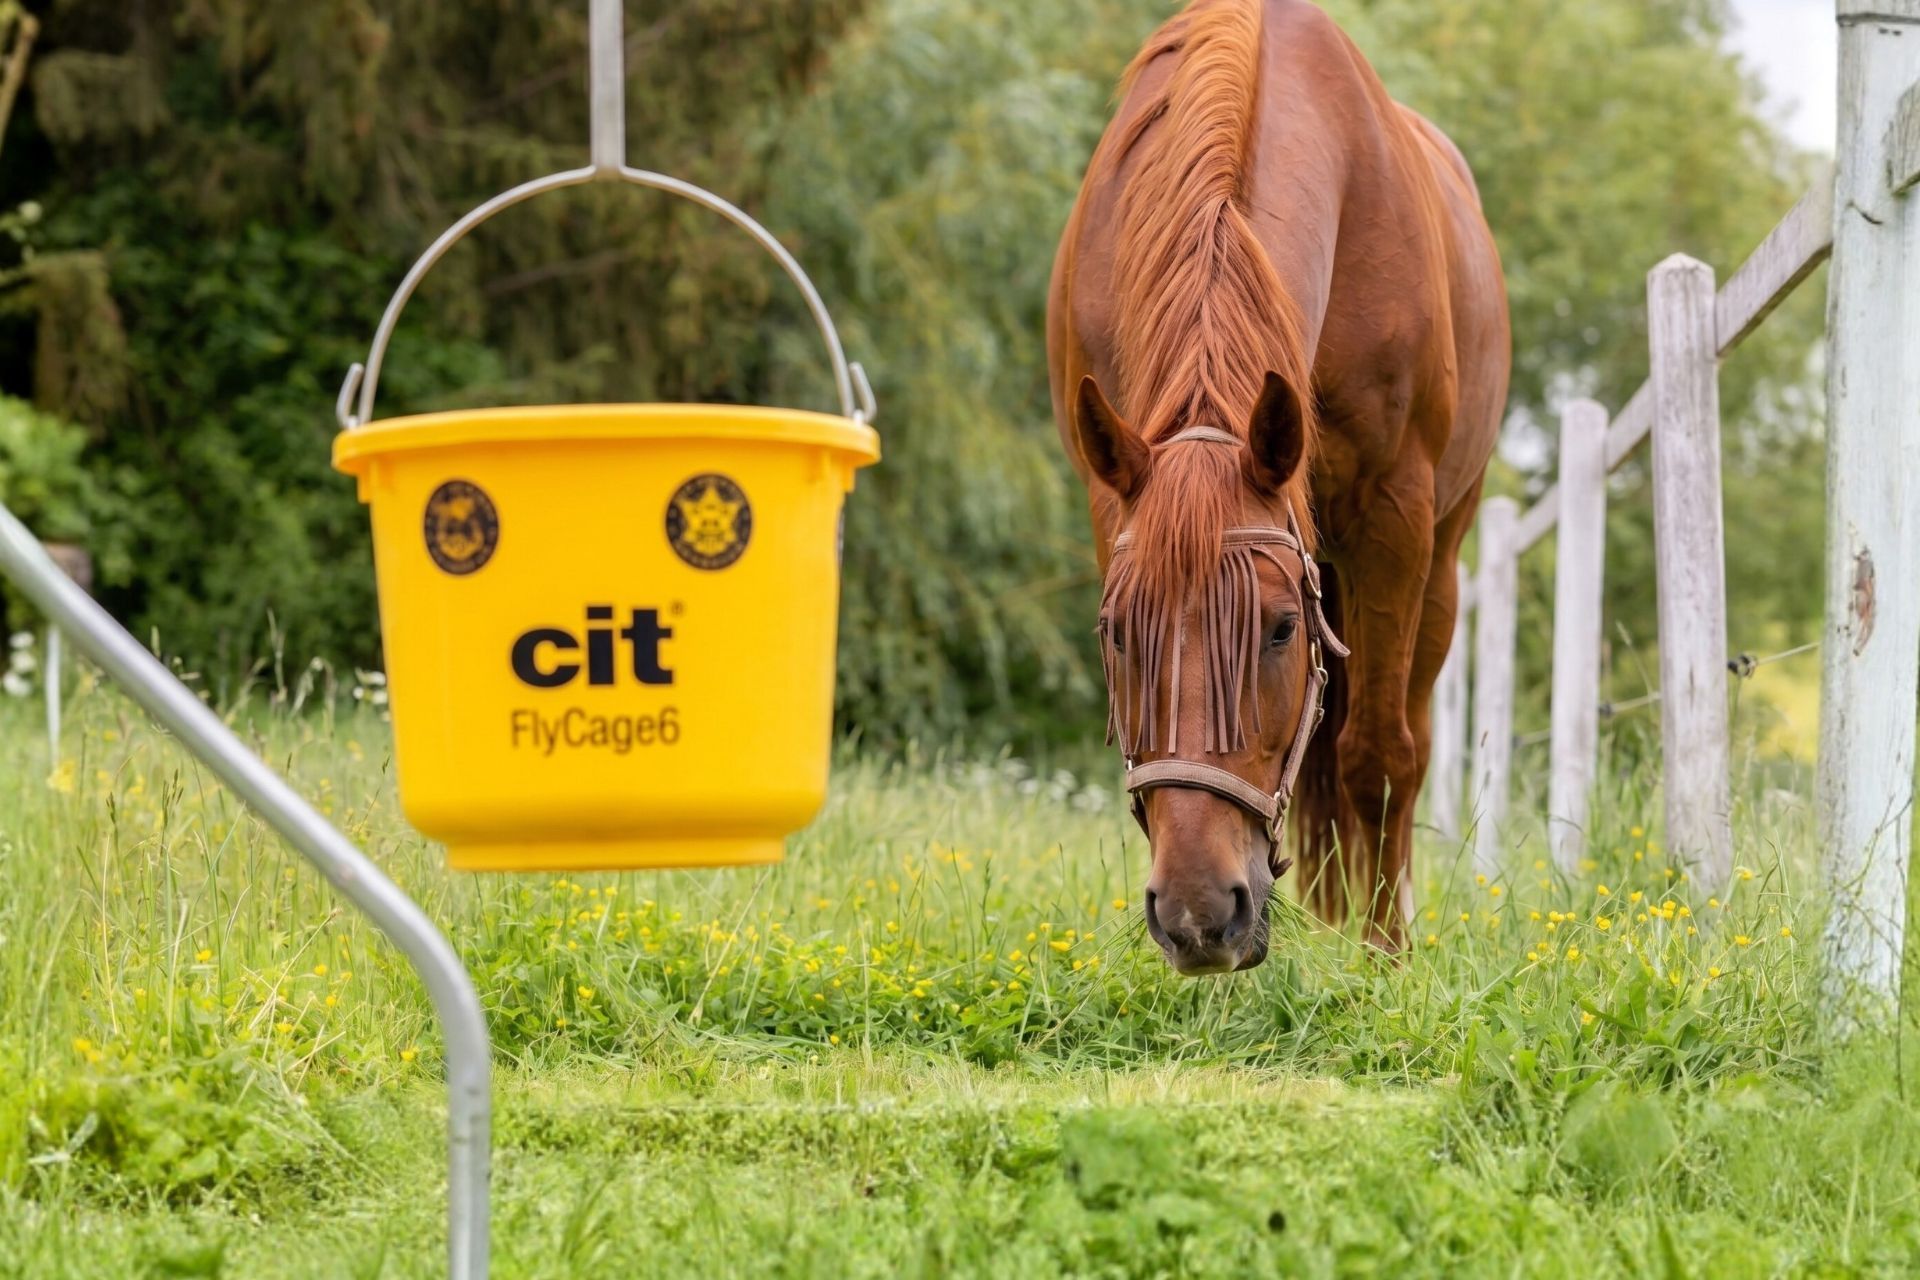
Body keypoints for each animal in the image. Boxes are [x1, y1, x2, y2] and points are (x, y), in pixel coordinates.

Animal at [1047, 0, 1510, 972]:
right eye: (1116, 633)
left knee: (1390, 740)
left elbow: (1380, 755)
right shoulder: (1112, 499)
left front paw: (1384, 958)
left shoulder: (1392, 516)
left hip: (1439, 558)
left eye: (1280, 628)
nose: (1196, 913)